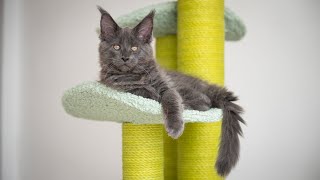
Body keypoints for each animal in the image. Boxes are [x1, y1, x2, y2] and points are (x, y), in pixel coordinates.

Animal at [97, 7, 245, 177]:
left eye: (135, 48)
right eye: (116, 47)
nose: (125, 58)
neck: (137, 75)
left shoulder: (167, 86)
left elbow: (171, 99)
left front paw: (175, 127)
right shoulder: (119, 86)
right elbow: (140, 90)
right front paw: (149, 92)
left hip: (186, 88)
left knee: (205, 101)